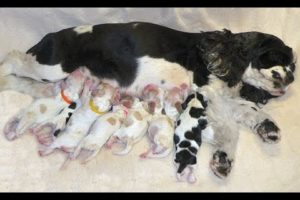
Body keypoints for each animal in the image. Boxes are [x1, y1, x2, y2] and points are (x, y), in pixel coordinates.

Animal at [0, 21, 296, 180]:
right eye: (279, 57)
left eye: (294, 64)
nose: (292, 77)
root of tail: (48, 37)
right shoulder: (206, 94)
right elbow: (231, 129)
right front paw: (224, 159)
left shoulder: (221, 97)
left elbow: (249, 109)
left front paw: (268, 128)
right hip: (52, 66)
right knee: (12, 59)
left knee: (26, 82)